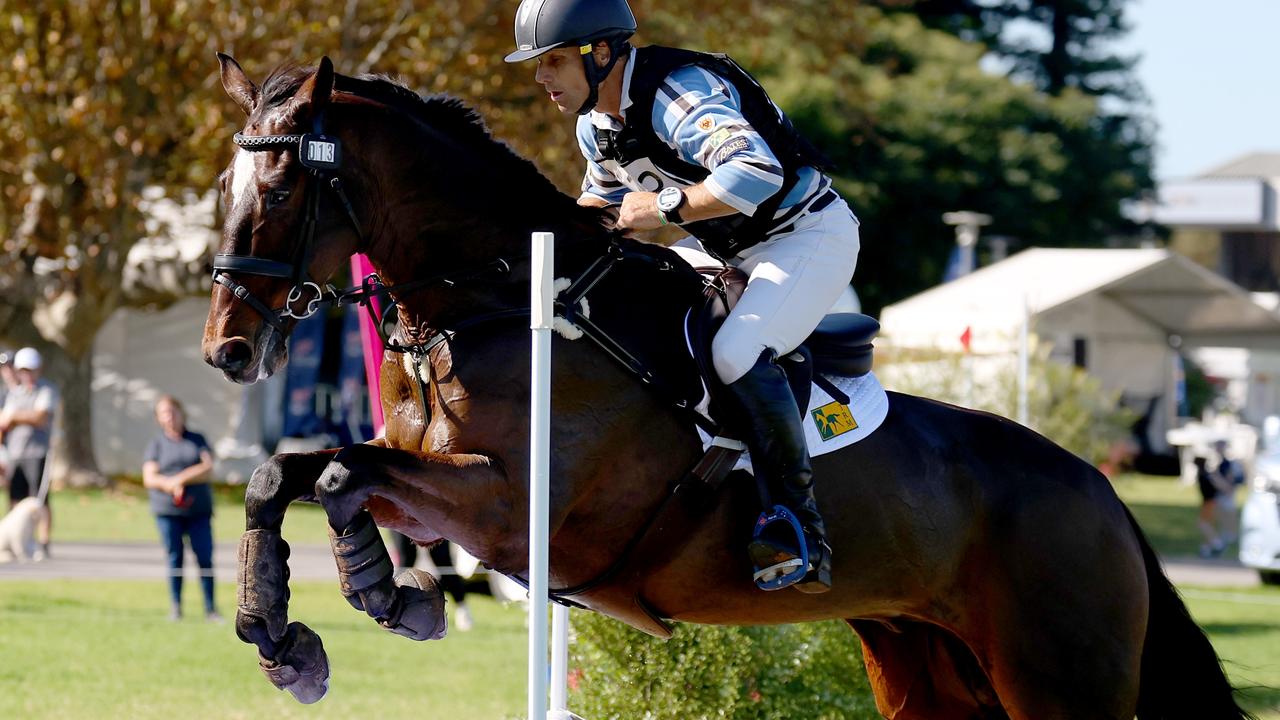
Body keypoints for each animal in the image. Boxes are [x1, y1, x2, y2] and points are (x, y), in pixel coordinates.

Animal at [199, 56, 1249, 717]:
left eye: (283, 190)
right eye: (222, 188)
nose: (227, 352)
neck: (491, 301)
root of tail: (1105, 495)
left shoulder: (507, 506)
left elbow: (341, 476)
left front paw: (380, 598)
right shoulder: (431, 476)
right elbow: (292, 474)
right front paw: (290, 630)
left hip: (1060, 681)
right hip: (931, 669)